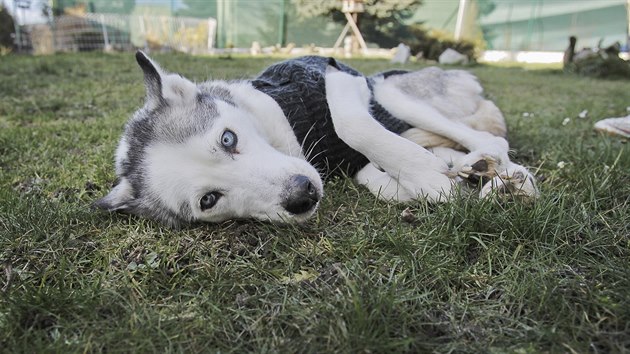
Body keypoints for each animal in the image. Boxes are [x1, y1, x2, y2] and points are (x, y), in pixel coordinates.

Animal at [95, 52, 540, 227]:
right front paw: (429, 185)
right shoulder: (356, 166)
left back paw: (505, 176)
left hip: (387, 89)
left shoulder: (338, 75)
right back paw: (482, 173)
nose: (302, 195)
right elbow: (378, 179)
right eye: (209, 200)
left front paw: (432, 180)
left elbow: (350, 124)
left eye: (227, 138)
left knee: (490, 139)